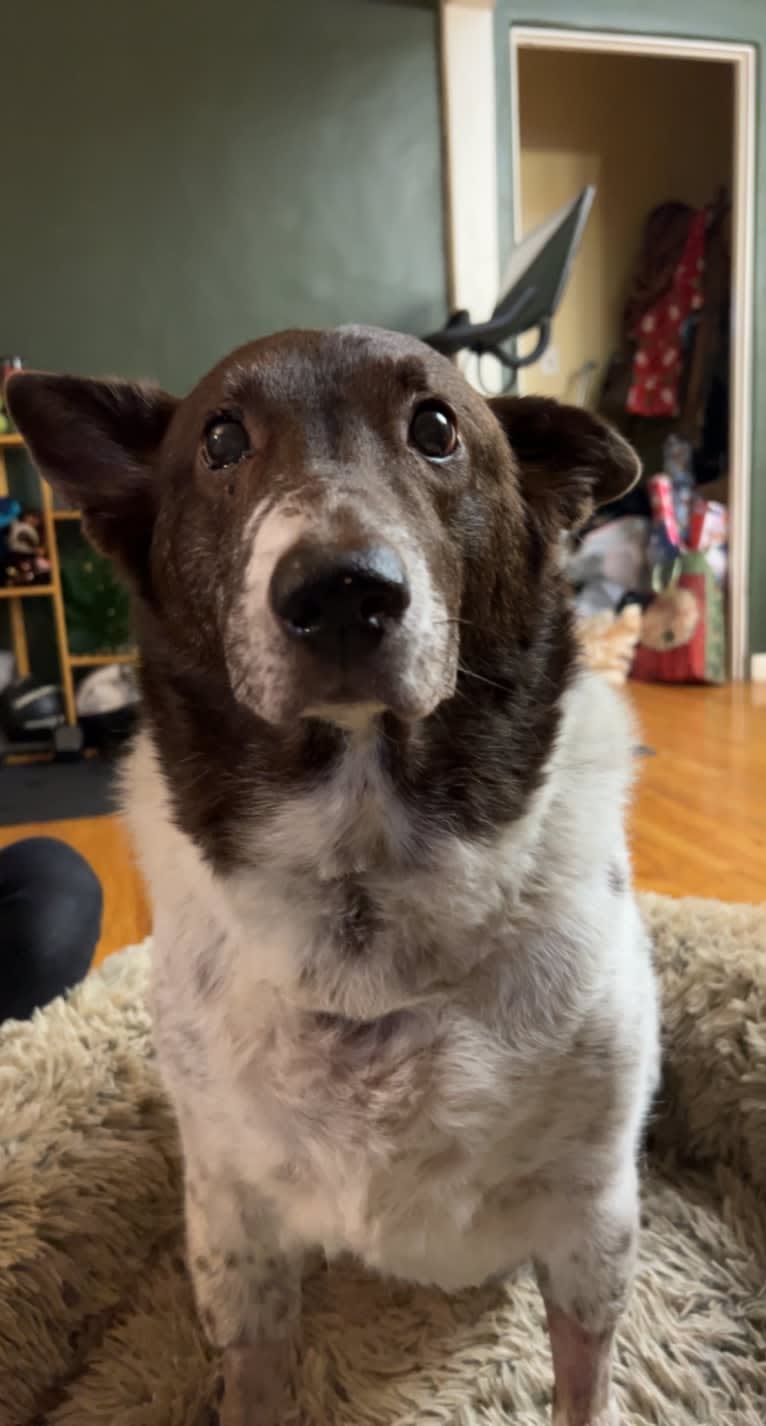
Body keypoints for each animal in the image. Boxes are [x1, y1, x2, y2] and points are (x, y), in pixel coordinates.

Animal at [7, 327, 656, 1420]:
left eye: (436, 427)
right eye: (221, 439)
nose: (342, 590)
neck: (366, 882)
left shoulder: (592, 1215)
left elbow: (584, 1378)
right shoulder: (232, 1222)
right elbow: (255, 1373)